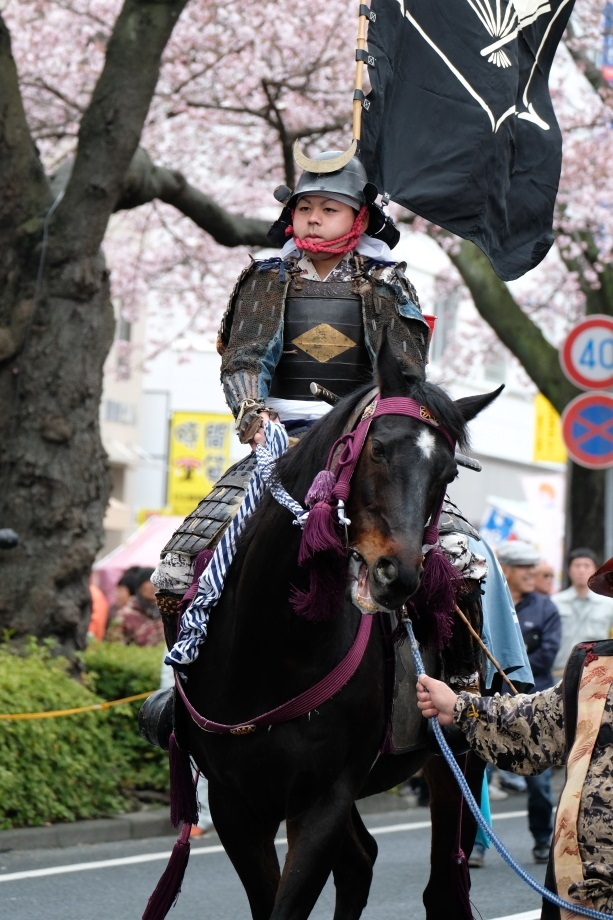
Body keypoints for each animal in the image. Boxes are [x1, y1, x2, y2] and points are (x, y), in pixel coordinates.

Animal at [166, 340, 498, 920]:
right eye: (379, 449)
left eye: (448, 474)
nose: (398, 575)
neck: (275, 650)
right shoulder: (235, 804)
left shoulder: (323, 800)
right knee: (361, 863)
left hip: (456, 757)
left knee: (441, 886)